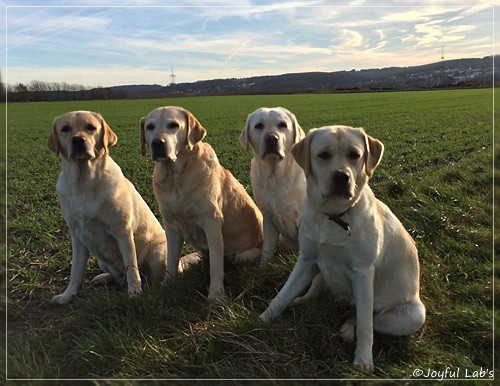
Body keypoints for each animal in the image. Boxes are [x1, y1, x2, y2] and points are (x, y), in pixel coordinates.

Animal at [47, 109, 192, 304]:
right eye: (65, 129)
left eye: (91, 127)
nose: (78, 140)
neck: (83, 183)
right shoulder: (77, 236)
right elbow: (75, 272)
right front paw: (67, 295)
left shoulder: (122, 231)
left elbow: (132, 267)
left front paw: (135, 293)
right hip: (101, 260)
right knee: (117, 275)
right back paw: (102, 278)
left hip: (158, 252)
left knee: (152, 276)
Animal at [140, 107, 264, 300]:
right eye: (149, 127)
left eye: (173, 125)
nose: (157, 143)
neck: (175, 177)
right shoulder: (172, 228)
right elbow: (171, 262)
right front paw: (167, 286)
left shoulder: (211, 223)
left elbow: (216, 266)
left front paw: (216, 295)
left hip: (241, 255)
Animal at [240, 107, 306, 266]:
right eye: (259, 126)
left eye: (282, 125)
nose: (271, 139)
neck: (275, 176)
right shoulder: (268, 219)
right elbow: (267, 251)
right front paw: (262, 268)